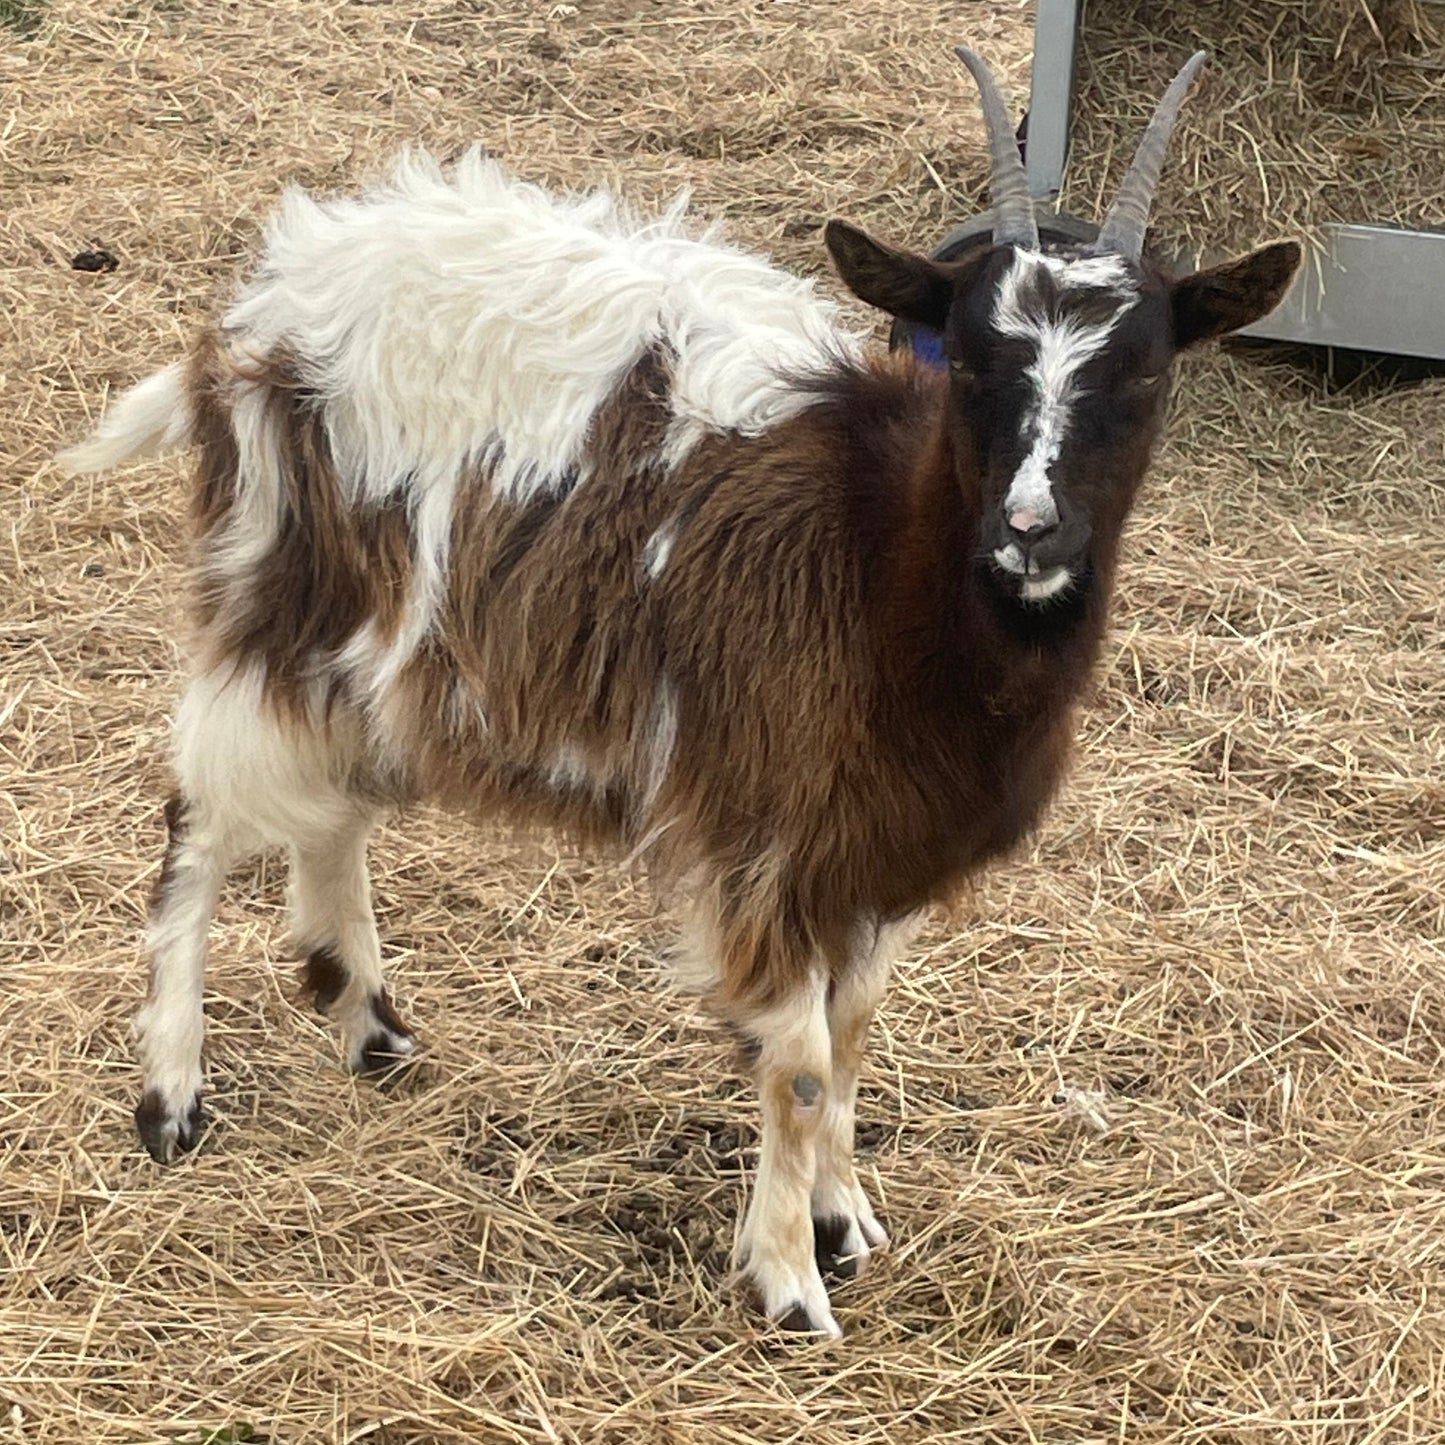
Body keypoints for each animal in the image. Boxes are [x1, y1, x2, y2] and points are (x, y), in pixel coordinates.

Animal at [59, 48, 1298, 1338]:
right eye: (969, 359)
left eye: (1144, 372)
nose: (1028, 530)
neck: (872, 563)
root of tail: (251, 311)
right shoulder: (765, 831)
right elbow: (798, 1064)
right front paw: (789, 1282)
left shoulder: (875, 843)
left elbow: (852, 1038)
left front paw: (842, 1219)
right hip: (277, 595)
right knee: (198, 828)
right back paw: (171, 1096)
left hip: (385, 651)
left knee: (332, 812)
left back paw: (367, 1023)